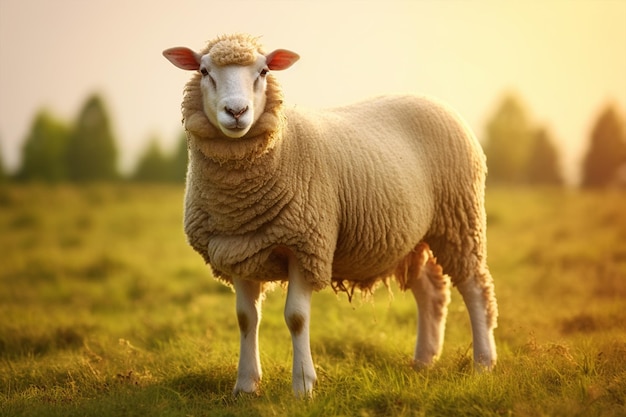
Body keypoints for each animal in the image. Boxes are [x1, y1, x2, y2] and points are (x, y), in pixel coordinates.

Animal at [163, 33, 494, 396]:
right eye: (204, 71)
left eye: (263, 71)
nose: (236, 111)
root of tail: (435, 100)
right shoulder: (237, 249)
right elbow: (246, 318)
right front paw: (246, 386)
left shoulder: (307, 244)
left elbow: (296, 317)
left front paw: (303, 386)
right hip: (411, 236)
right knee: (431, 293)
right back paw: (423, 361)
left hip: (460, 217)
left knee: (475, 287)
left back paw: (483, 363)